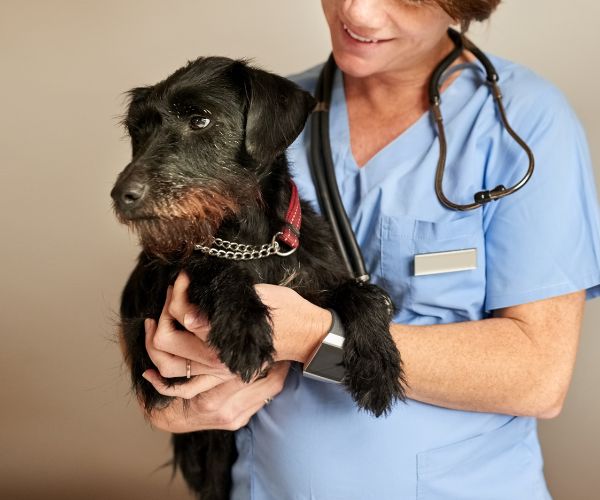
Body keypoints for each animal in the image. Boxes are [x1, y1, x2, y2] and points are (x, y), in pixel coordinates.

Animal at [112, 56, 408, 500]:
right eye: (139, 130)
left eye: (200, 119)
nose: (120, 195)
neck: (253, 241)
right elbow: (215, 268)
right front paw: (246, 329)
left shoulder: (316, 279)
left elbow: (362, 295)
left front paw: (377, 364)